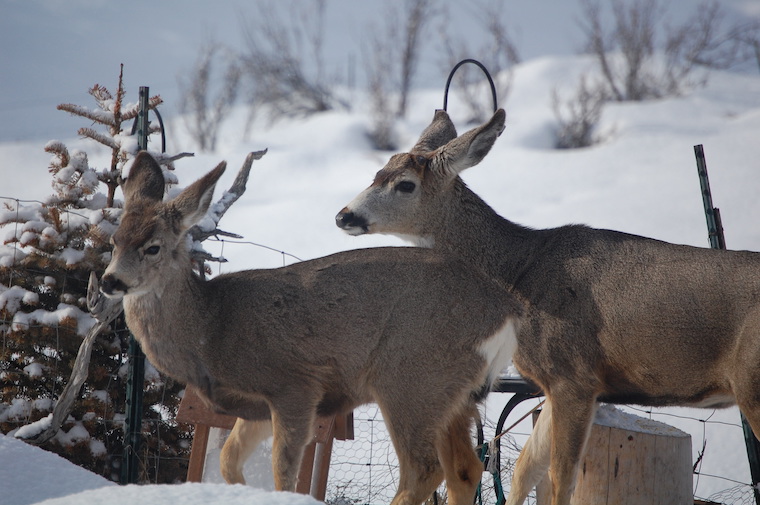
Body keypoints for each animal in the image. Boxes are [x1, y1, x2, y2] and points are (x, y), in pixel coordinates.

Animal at [100, 151, 525, 505]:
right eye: (114, 239)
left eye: (153, 247)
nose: (110, 281)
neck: (210, 329)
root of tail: (506, 310)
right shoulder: (256, 404)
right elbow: (227, 460)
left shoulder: (294, 384)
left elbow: (283, 472)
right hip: (452, 393)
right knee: (465, 470)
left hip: (410, 377)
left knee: (424, 469)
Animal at [335, 108, 760, 505]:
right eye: (376, 173)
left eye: (405, 184)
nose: (344, 215)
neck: (519, 275)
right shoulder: (552, 383)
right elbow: (526, 469)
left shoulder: (575, 375)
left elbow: (560, 478)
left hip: (752, 383)